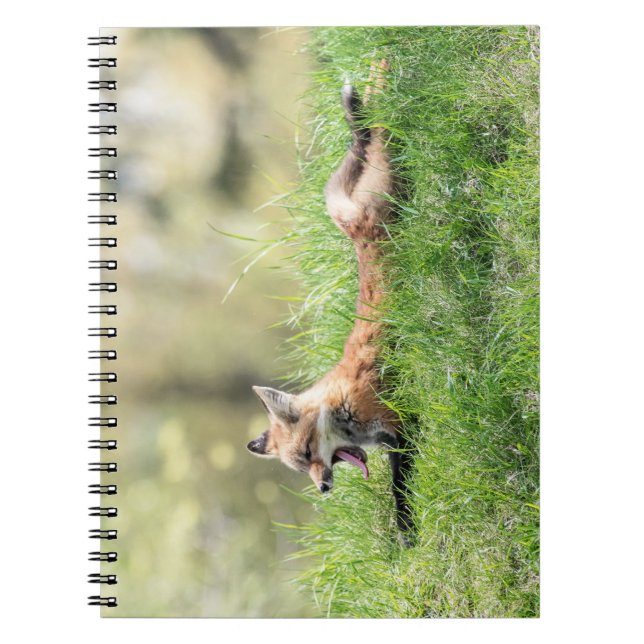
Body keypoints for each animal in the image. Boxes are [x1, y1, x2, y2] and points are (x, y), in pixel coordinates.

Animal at [247, 60, 413, 534]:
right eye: (302, 468)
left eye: (306, 455)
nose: (322, 487)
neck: (340, 406)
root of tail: (352, 225)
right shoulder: (389, 437)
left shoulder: (399, 423)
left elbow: (400, 491)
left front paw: (406, 531)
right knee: (365, 140)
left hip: (387, 184)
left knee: (372, 135)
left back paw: (369, 101)